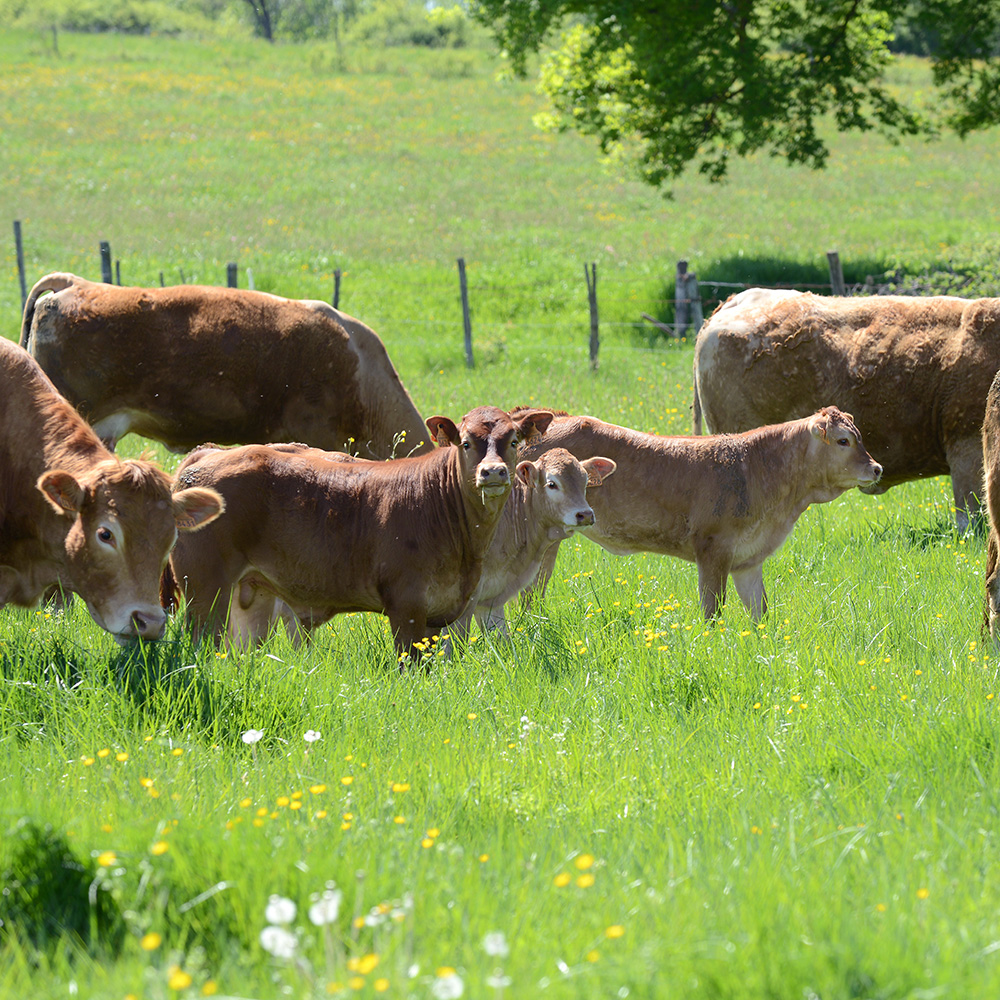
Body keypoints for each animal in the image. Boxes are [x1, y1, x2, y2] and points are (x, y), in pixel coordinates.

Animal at [164, 406, 556, 656]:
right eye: (466, 443)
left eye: (514, 441)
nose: (492, 472)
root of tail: (208, 454)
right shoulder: (405, 605)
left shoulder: (440, 610)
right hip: (205, 590)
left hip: (251, 595)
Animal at [516, 404, 884, 616]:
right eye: (843, 440)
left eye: (859, 436)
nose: (877, 468)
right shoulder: (713, 550)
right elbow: (712, 611)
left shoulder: (748, 560)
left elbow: (761, 612)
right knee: (530, 592)